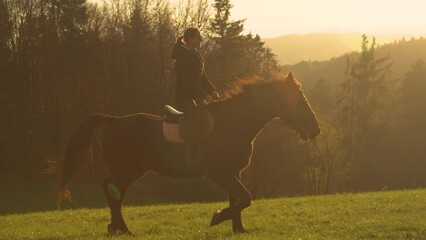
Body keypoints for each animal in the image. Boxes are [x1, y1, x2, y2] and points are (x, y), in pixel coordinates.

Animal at [52, 72, 320, 235]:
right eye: (298, 99)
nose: (315, 130)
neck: (232, 124)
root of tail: (115, 121)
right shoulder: (219, 173)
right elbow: (245, 198)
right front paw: (218, 218)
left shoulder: (233, 172)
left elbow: (238, 199)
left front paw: (238, 229)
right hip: (127, 170)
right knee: (112, 190)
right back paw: (122, 228)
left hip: (130, 170)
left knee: (111, 189)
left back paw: (116, 227)